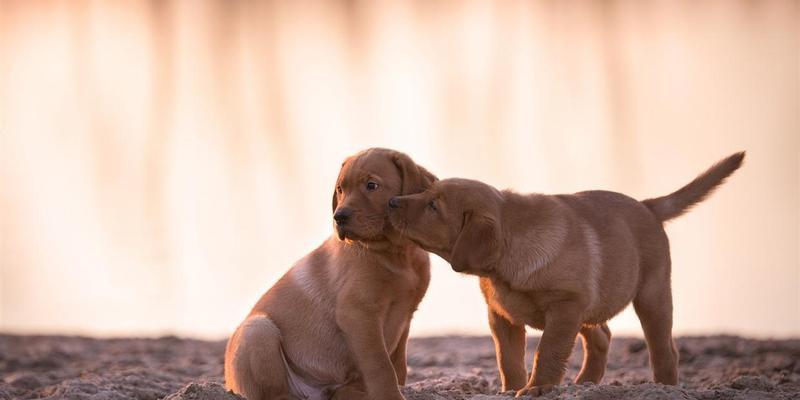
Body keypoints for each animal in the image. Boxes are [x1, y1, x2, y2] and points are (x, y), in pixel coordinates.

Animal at [225, 148, 438, 400]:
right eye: (340, 189)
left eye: (372, 185)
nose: (339, 217)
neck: (397, 254)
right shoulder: (357, 313)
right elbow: (381, 366)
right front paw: (391, 396)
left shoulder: (405, 315)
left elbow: (398, 365)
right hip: (258, 330)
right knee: (274, 393)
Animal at [386, 152, 744, 396]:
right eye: (426, 193)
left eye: (434, 206)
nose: (392, 202)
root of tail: (647, 205)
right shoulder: (502, 315)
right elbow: (508, 358)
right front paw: (511, 388)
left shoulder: (564, 307)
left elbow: (548, 352)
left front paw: (537, 388)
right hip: (592, 303)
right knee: (602, 337)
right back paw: (585, 383)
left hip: (651, 295)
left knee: (663, 349)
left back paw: (664, 387)